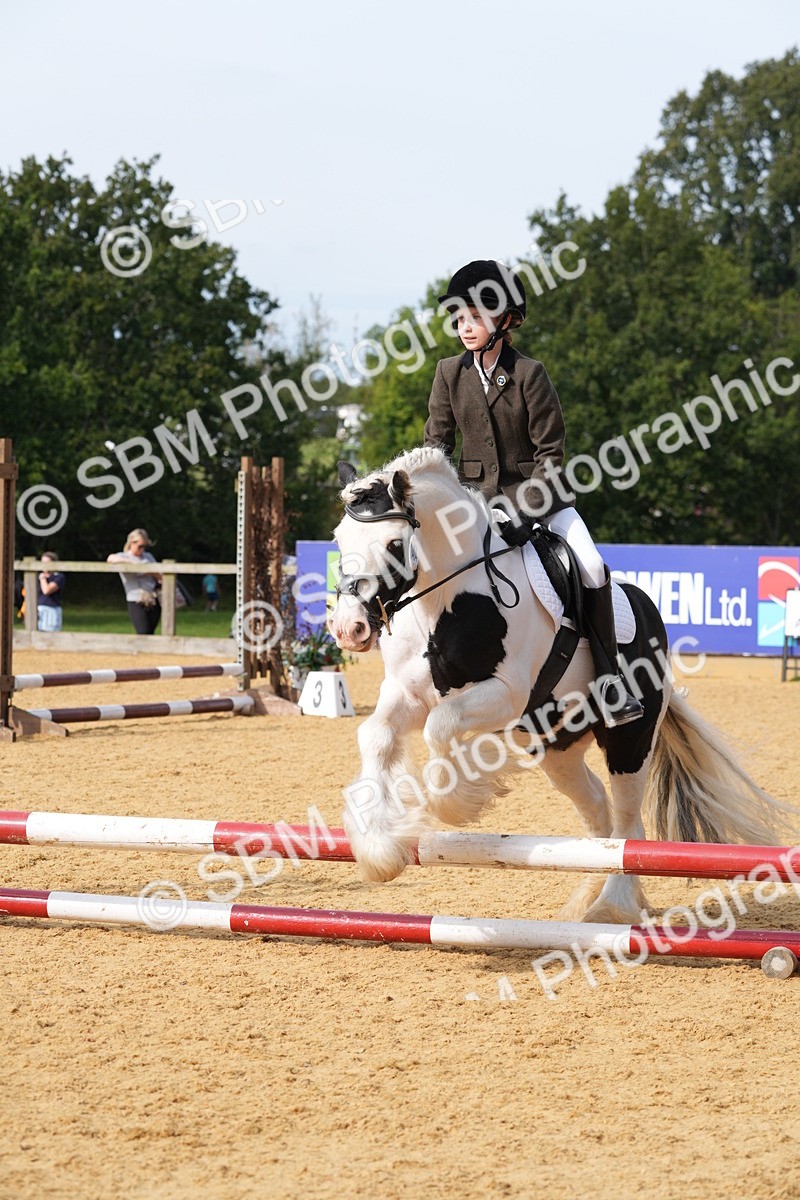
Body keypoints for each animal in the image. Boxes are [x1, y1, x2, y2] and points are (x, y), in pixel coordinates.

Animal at [327, 446, 790, 924]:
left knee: (629, 823)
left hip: (629, 742)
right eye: (339, 540)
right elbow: (376, 734)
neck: (446, 601)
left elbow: (441, 725)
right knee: (600, 817)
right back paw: (593, 898)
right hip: (558, 750)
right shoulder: (407, 694)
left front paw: (458, 803)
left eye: (393, 544)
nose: (349, 629)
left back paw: (611, 907)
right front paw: (380, 848)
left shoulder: (506, 695)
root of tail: (648, 612)